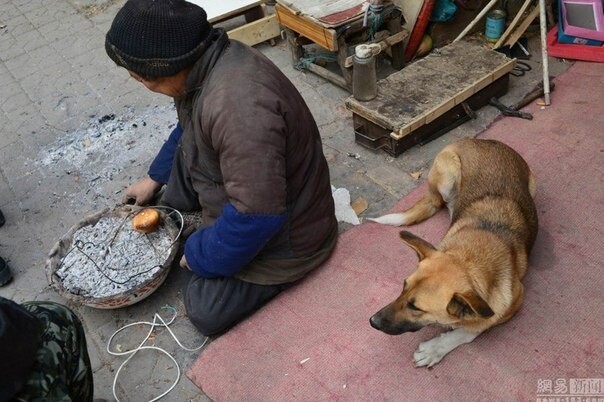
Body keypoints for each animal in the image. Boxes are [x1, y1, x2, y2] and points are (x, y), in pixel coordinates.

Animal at [368, 138, 536, 368]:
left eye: (416, 308)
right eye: (403, 286)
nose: (372, 322)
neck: (468, 257)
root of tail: (484, 140)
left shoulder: (514, 300)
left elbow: (471, 329)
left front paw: (434, 349)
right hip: (447, 175)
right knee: (442, 202)